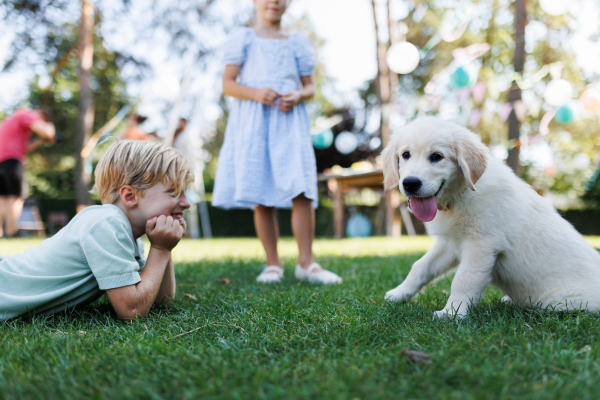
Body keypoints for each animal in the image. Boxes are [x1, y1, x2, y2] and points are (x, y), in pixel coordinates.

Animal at [382, 116, 600, 318]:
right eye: (405, 154)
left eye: (437, 156)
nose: (410, 183)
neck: (461, 195)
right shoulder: (449, 243)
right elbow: (421, 266)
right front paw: (399, 294)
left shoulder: (481, 244)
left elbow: (464, 279)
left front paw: (452, 314)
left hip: (559, 301)